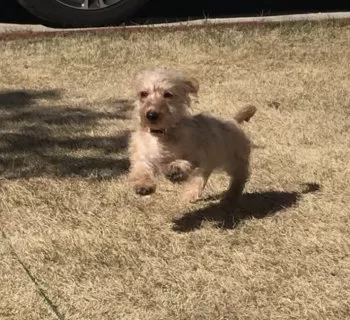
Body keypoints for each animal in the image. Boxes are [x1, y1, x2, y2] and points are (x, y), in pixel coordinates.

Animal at [127, 68, 256, 206]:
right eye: (143, 93)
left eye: (168, 94)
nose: (151, 115)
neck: (161, 134)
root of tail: (233, 121)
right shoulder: (143, 155)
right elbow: (141, 169)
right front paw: (143, 185)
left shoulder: (196, 154)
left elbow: (185, 161)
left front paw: (176, 168)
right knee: (203, 177)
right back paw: (191, 194)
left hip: (233, 160)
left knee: (240, 177)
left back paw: (231, 195)